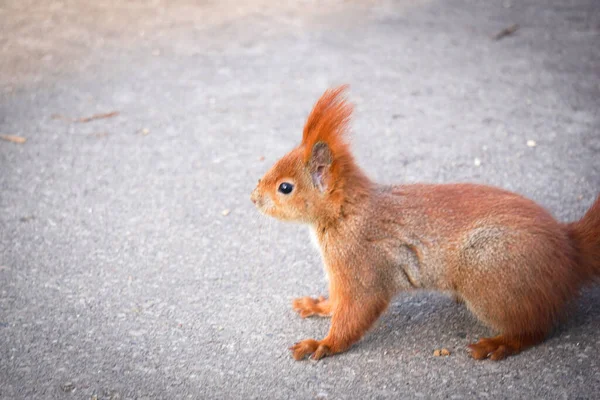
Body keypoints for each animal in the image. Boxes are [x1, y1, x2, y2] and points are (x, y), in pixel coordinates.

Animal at [248, 86, 600, 360]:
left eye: (285, 187)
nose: (253, 197)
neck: (347, 213)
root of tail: (570, 250)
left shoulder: (361, 265)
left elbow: (355, 311)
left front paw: (323, 344)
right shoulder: (340, 275)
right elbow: (336, 302)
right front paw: (317, 305)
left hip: (490, 275)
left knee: (537, 326)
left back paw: (500, 343)